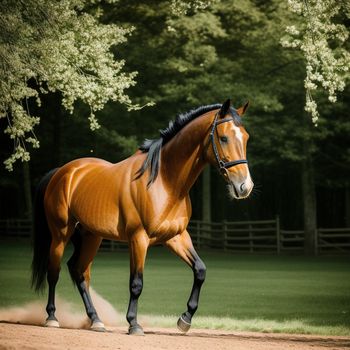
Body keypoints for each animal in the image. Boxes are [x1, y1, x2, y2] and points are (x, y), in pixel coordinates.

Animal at [31, 98, 253, 336]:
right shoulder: (139, 239)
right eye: (224, 138)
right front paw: (134, 323)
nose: (245, 186)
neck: (164, 181)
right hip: (61, 234)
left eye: (246, 137)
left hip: (91, 236)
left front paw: (185, 319)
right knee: (54, 272)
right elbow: (136, 283)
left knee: (79, 272)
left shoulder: (176, 237)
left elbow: (200, 270)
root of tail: (62, 172)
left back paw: (96, 320)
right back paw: (52, 317)